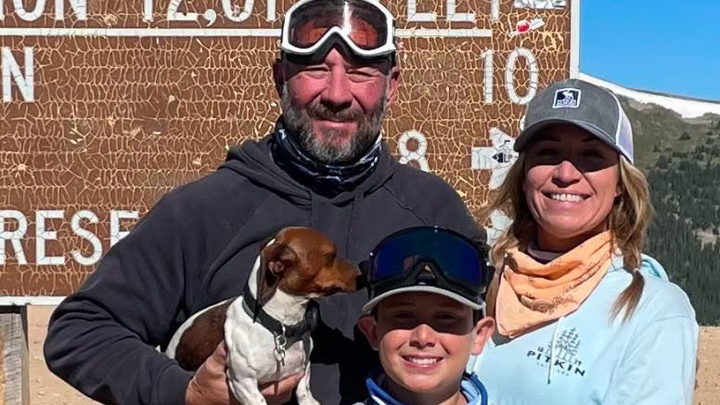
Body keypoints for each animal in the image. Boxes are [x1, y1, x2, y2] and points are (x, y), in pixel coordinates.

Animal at [165, 226, 359, 405]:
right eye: (331, 256)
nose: (360, 272)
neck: (278, 326)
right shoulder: (244, 384)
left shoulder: (304, 368)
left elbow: (305, 393)